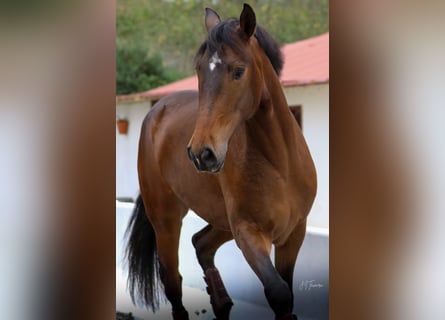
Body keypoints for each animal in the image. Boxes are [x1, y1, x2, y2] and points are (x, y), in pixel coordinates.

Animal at [125, 3, 316, 320]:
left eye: (238, 71)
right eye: (199, 70)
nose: (201, 153)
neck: (280, 163)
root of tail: (156, 112)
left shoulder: (293, 235)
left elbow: (286, 295)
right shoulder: (250, 235)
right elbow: (279, 293)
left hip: (222, 223)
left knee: (201, 245)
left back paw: (221, 301)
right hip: (167, 221)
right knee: (173, 282)